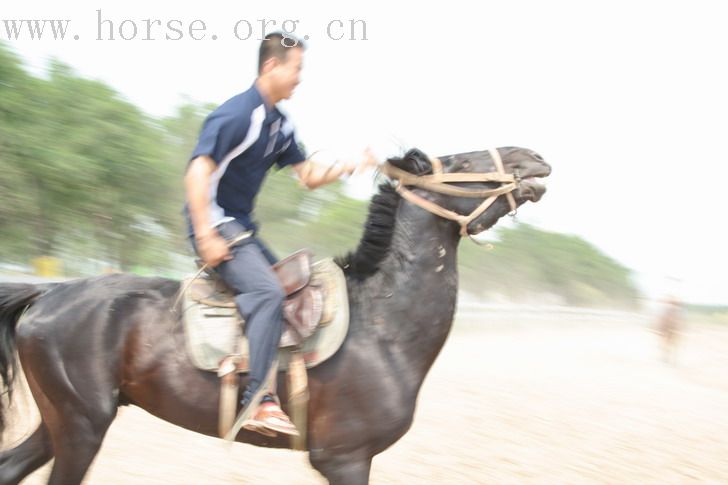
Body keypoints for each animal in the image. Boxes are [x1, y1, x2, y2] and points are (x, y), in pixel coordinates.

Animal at [0, 147, 548, 484]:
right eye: (461, 159)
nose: (534, 159)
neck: (379, 326)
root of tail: (49, 293)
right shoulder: (346, 459)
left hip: (64, 421)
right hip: (82, 425)